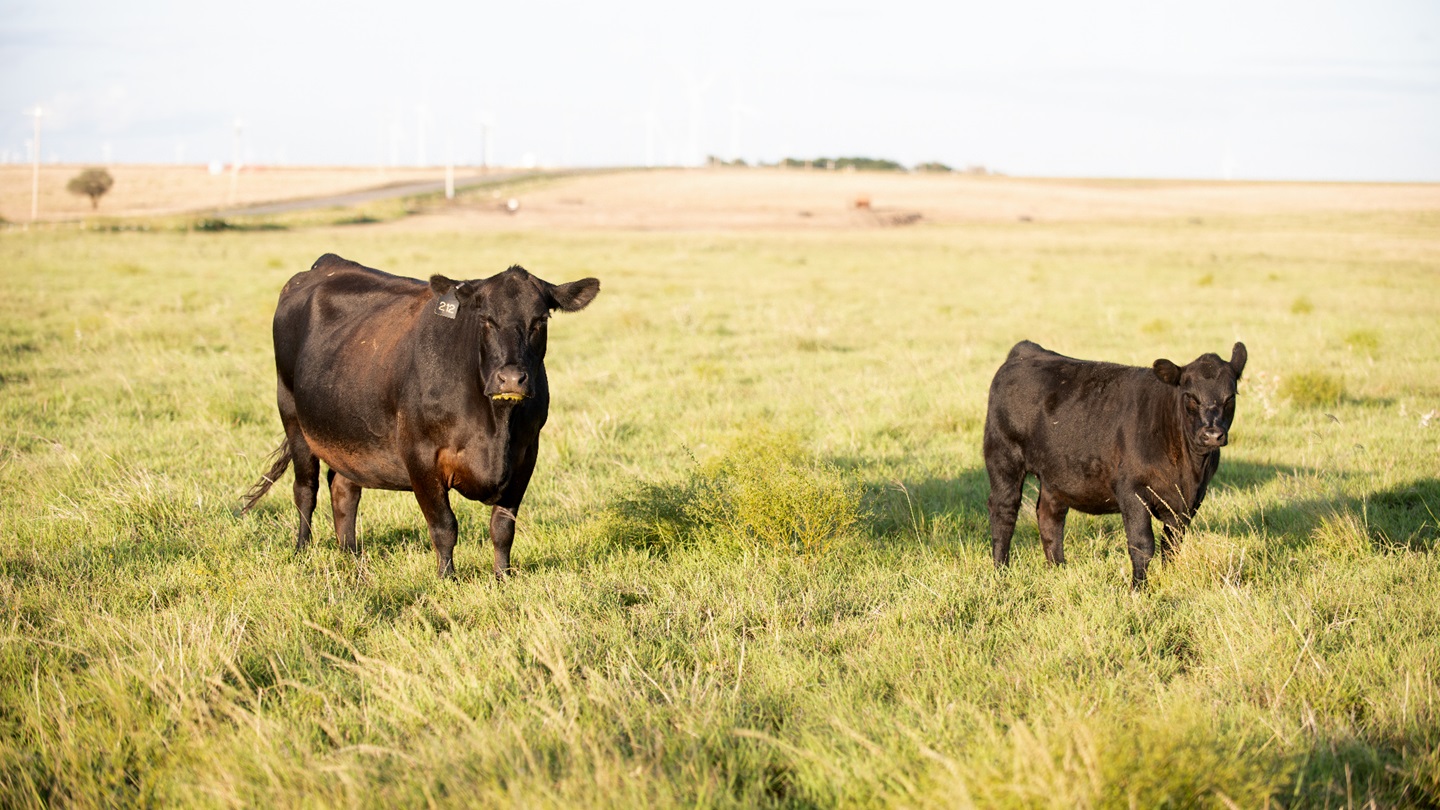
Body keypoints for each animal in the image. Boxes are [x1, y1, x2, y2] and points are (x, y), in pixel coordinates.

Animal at [242, 254, 600, 579]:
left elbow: (502, 527)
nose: (511, 378)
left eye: (540, 321)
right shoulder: (420, 456)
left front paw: (503, 577)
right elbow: (444, 526)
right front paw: (447, 579)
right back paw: (302, 550)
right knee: (306, 489)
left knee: (344, 488)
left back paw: (351, 555)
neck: (495, 426)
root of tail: (326, 264)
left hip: (349, 432)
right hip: (292, 416)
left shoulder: (526, 455)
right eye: (486, 319)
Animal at [983, 340, 1247, 588]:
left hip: (1056, 474)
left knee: (1050, 517)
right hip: (1003, 458)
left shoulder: (1188, 502)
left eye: (1230, 397)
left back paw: (1058, 569)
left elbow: (1171, 545)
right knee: (1004, 512)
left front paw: (1167, 578)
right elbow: (1142, 544)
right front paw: (1139, 588)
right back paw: (1001, 572)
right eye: (1190, 397)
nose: (1212, 435)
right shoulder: (1132, 490)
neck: (1187, 469)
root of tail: (1025, 351)